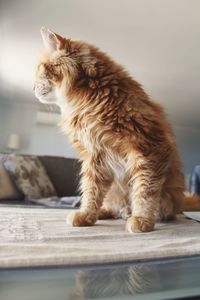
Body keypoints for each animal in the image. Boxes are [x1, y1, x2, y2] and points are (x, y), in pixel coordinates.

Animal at [33, 27, 199, 233]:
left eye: (40, 70)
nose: (32, 88)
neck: (88, 102)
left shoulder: (150, 146)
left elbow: (145, 190)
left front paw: (142, 219)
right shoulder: (94, 157)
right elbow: (91, 191)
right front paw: (87, 215)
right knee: (114, 207)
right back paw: (103, 213)